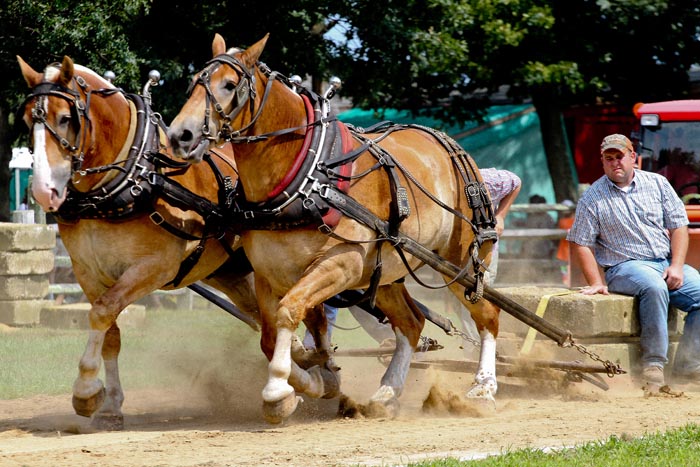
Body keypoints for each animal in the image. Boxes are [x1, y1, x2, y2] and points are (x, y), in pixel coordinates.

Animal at [17, 55, 261, 430]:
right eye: (29, 119)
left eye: (65, 118)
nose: (44, 191)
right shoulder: (87, 271)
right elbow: (110, 333)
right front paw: (110, 405)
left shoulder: (155, 267)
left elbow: (103, 312)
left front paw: (86, 391)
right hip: (231, 272)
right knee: (267, 318)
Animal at [167, 34, 502, 424]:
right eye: (193, 83)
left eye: (230, 85)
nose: (180, 135)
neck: (307, 176)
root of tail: (452, 146)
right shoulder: (268, 273)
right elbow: (272, 335)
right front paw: (313, 380)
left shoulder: (341, 264)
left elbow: (289, 313)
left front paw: (279, 390)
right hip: (385, 273)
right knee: (412, 322)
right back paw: (387, 393)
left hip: (461, 262)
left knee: (487, 315)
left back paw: (482, 388)